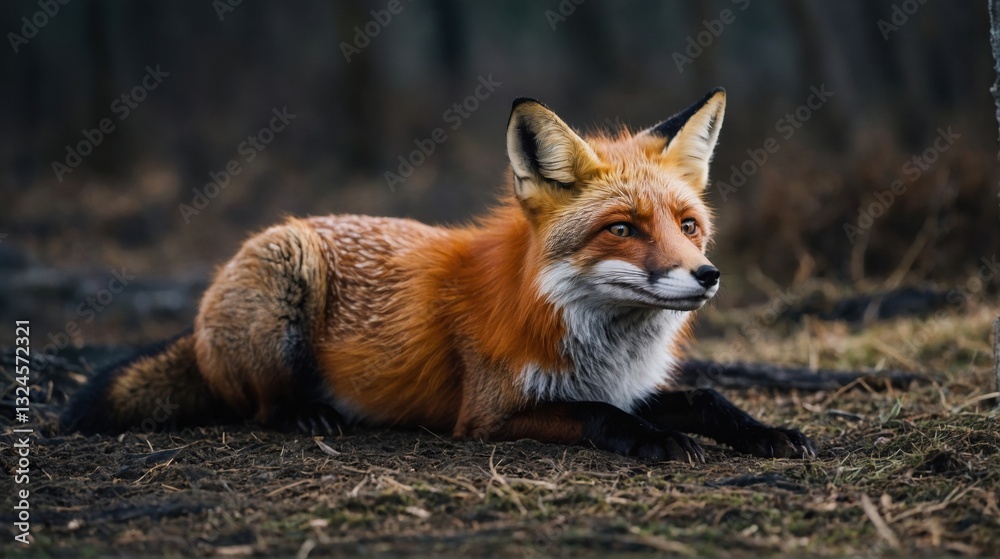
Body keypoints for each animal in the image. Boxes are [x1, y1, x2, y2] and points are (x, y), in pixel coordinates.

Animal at [63, 88, 815, 462]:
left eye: (687, 226)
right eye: (622, 229)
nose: (706, 275)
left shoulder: (625, 384)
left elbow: (706, 396)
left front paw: (767, 432)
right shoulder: (489, 412)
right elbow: (599, 416)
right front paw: (657, 441)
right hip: (285, 278)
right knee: (259, 407)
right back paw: (309, 414)